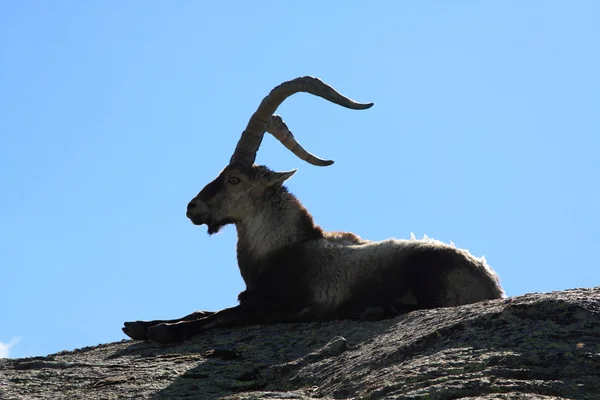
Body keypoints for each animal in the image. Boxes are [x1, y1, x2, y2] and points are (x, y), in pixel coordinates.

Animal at [124, 76, 504, 344]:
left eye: (234, 179)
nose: (193, 207)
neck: (281, 248)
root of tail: (493, 284)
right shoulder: (250, 298)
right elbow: (202, 309)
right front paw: (139, 324)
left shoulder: (275, 305)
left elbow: (216, 317)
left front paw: (162, 330)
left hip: (427, 270)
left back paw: (375, 308)